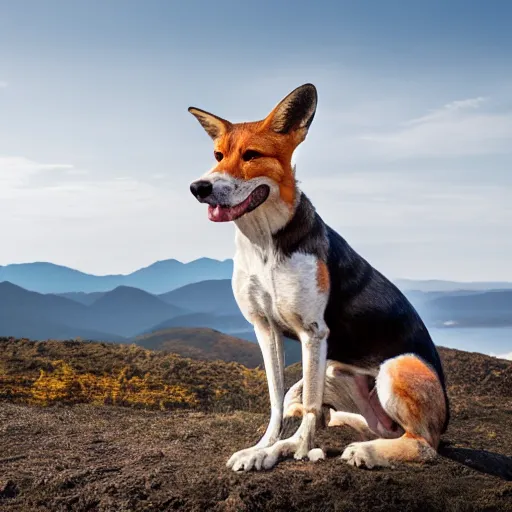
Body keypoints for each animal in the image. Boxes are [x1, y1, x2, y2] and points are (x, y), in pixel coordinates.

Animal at [188, 84, 448, 472]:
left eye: (251, 155)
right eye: (218, 155)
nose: (199, 187)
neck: (264, 242)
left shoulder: (312, 333)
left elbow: (310, 407)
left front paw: (290, 449)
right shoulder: (265, 329)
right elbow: (277, 400)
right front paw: (264, 446)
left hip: (397, 366)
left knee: (423, 444)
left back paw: (365, 451)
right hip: (336, 372)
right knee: (356, 420)